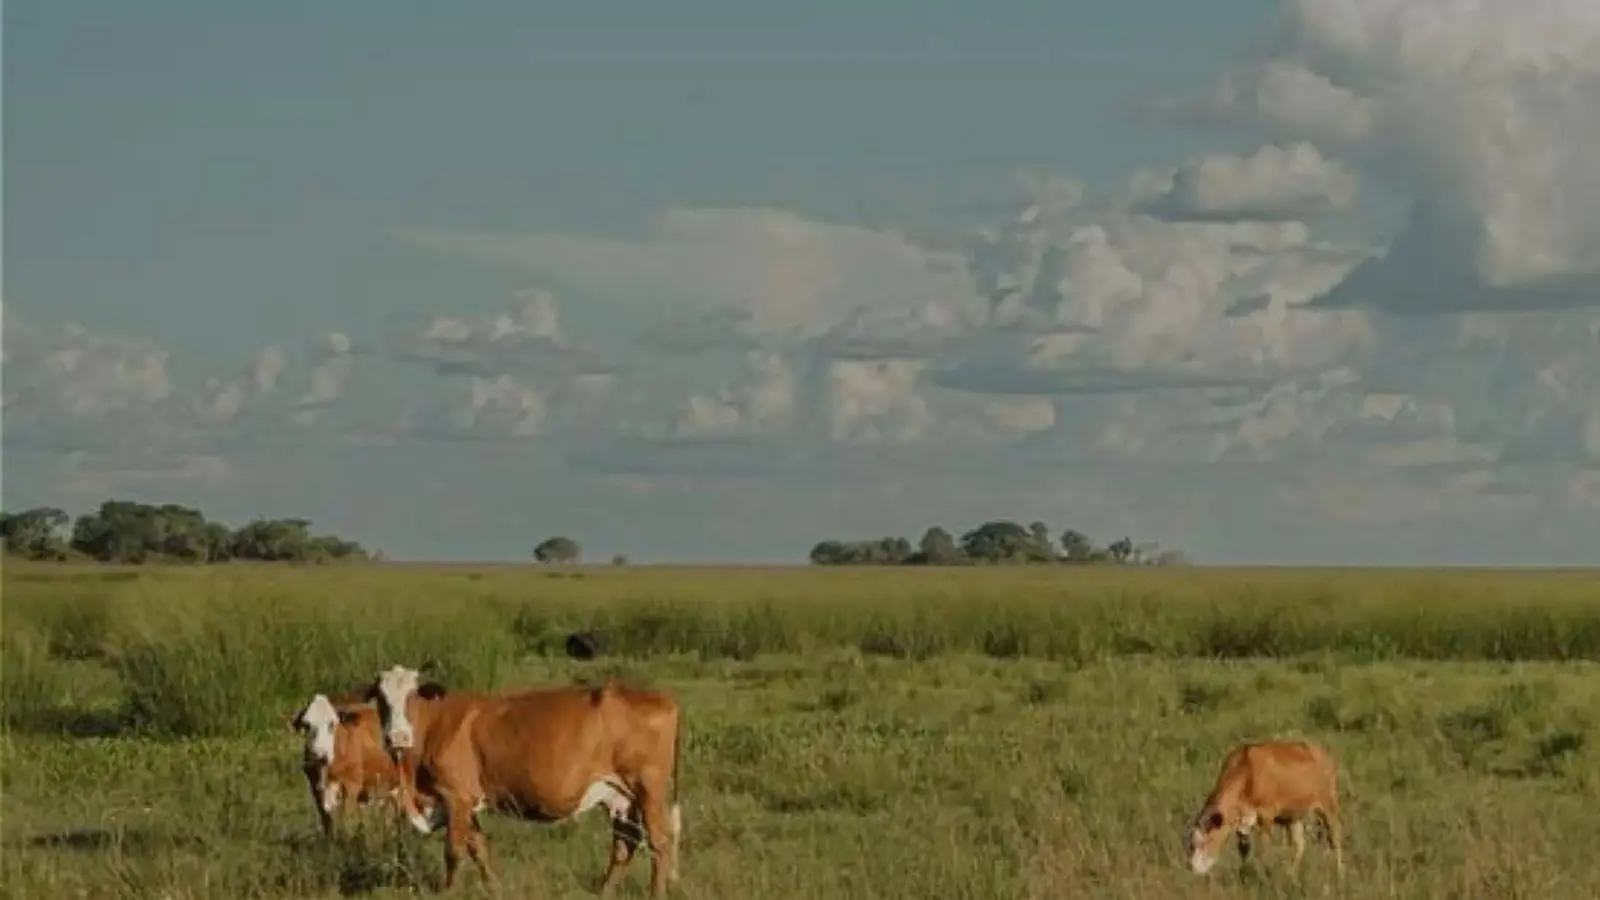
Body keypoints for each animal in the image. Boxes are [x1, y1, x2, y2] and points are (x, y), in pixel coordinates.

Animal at [288, 693, 431, 837]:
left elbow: (345, 820)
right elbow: (327, 823)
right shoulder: (316, 788)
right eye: (306, 725)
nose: (320, 755)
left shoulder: (351, 785)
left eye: (332, 724)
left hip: (407, 775)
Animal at [363, 664, 684, 897]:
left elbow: (454, 851)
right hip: (621, 796)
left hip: (649, 788)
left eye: (413, 695)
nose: (397, 737)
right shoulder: (466, 800)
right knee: (624, 844)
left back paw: (656, 894)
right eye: (381, 699)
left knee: (660, 841)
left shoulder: (456, 797)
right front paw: (495, 888)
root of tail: (660, 697)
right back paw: (604, 891)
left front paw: (447, 892)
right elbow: (478, 848)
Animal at [1182, 739, 1345, 882]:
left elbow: (1263, 849)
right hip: (1293, 816)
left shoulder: (1266, 815)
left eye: (1203, 842)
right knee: (1299, 845)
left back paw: (1340, 875)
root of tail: (1322, 753)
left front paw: (1264, 877)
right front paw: (1244, 875)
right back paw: (1290, 876)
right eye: (1189, 844)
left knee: (1335, 839)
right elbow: (1244, 851)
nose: (1192, 868)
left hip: (1328, 804)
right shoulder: (1243, 824)